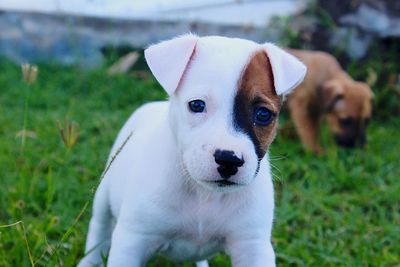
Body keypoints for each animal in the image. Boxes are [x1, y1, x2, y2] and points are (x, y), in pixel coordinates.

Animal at [76, 34, 304, 267]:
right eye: (197, 105)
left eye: (263, 114)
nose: (228, 160)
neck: (203, 193)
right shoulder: (133, 240)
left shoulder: (253, 247)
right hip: (103, 192)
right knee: (99, 228)